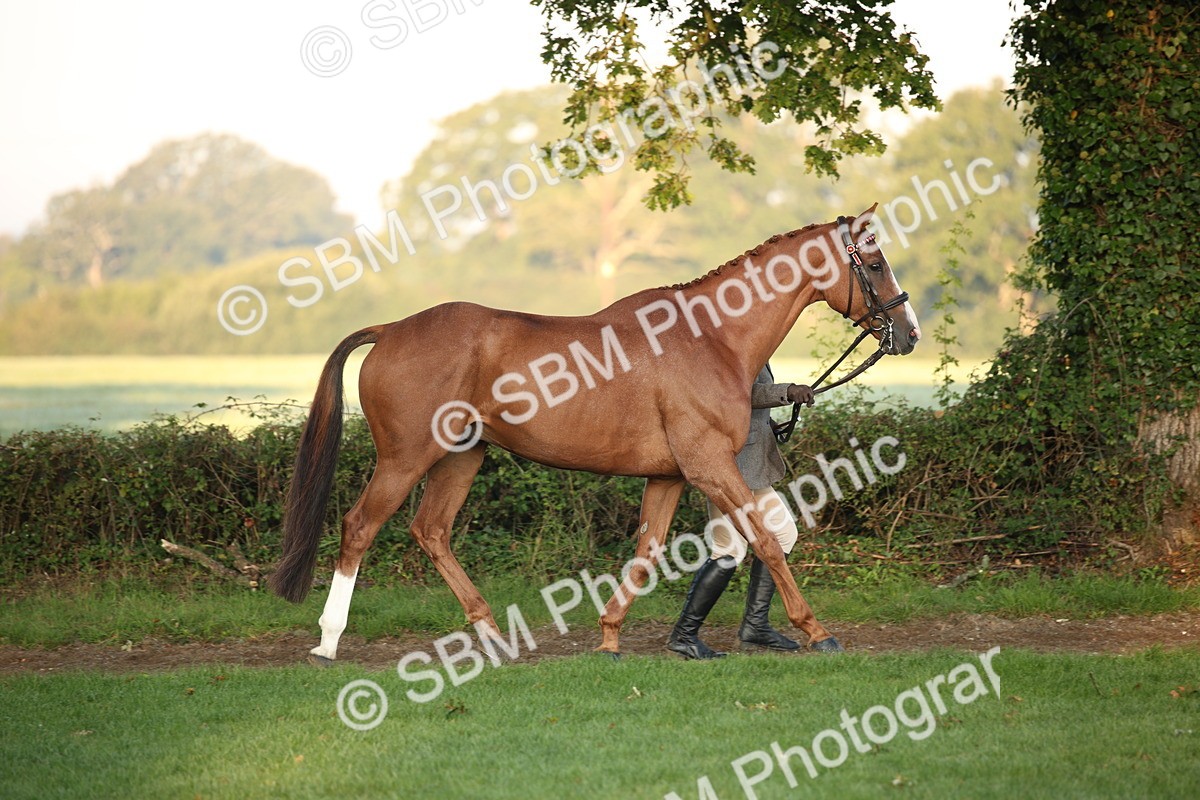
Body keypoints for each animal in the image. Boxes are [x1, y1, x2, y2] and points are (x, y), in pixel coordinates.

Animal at [269, 203, 920, 664]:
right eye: (876, 264)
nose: (908, 332)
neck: (710, 336)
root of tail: (392, 329)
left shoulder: (670, 475)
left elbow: (649, 551)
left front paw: (609, 636)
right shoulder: (710, 465)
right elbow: (763, 541)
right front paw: (816, 631)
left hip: (462, 457)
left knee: (432, 532)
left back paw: (493, 635)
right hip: (406, 458)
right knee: (360, 527)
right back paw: (328, 641)